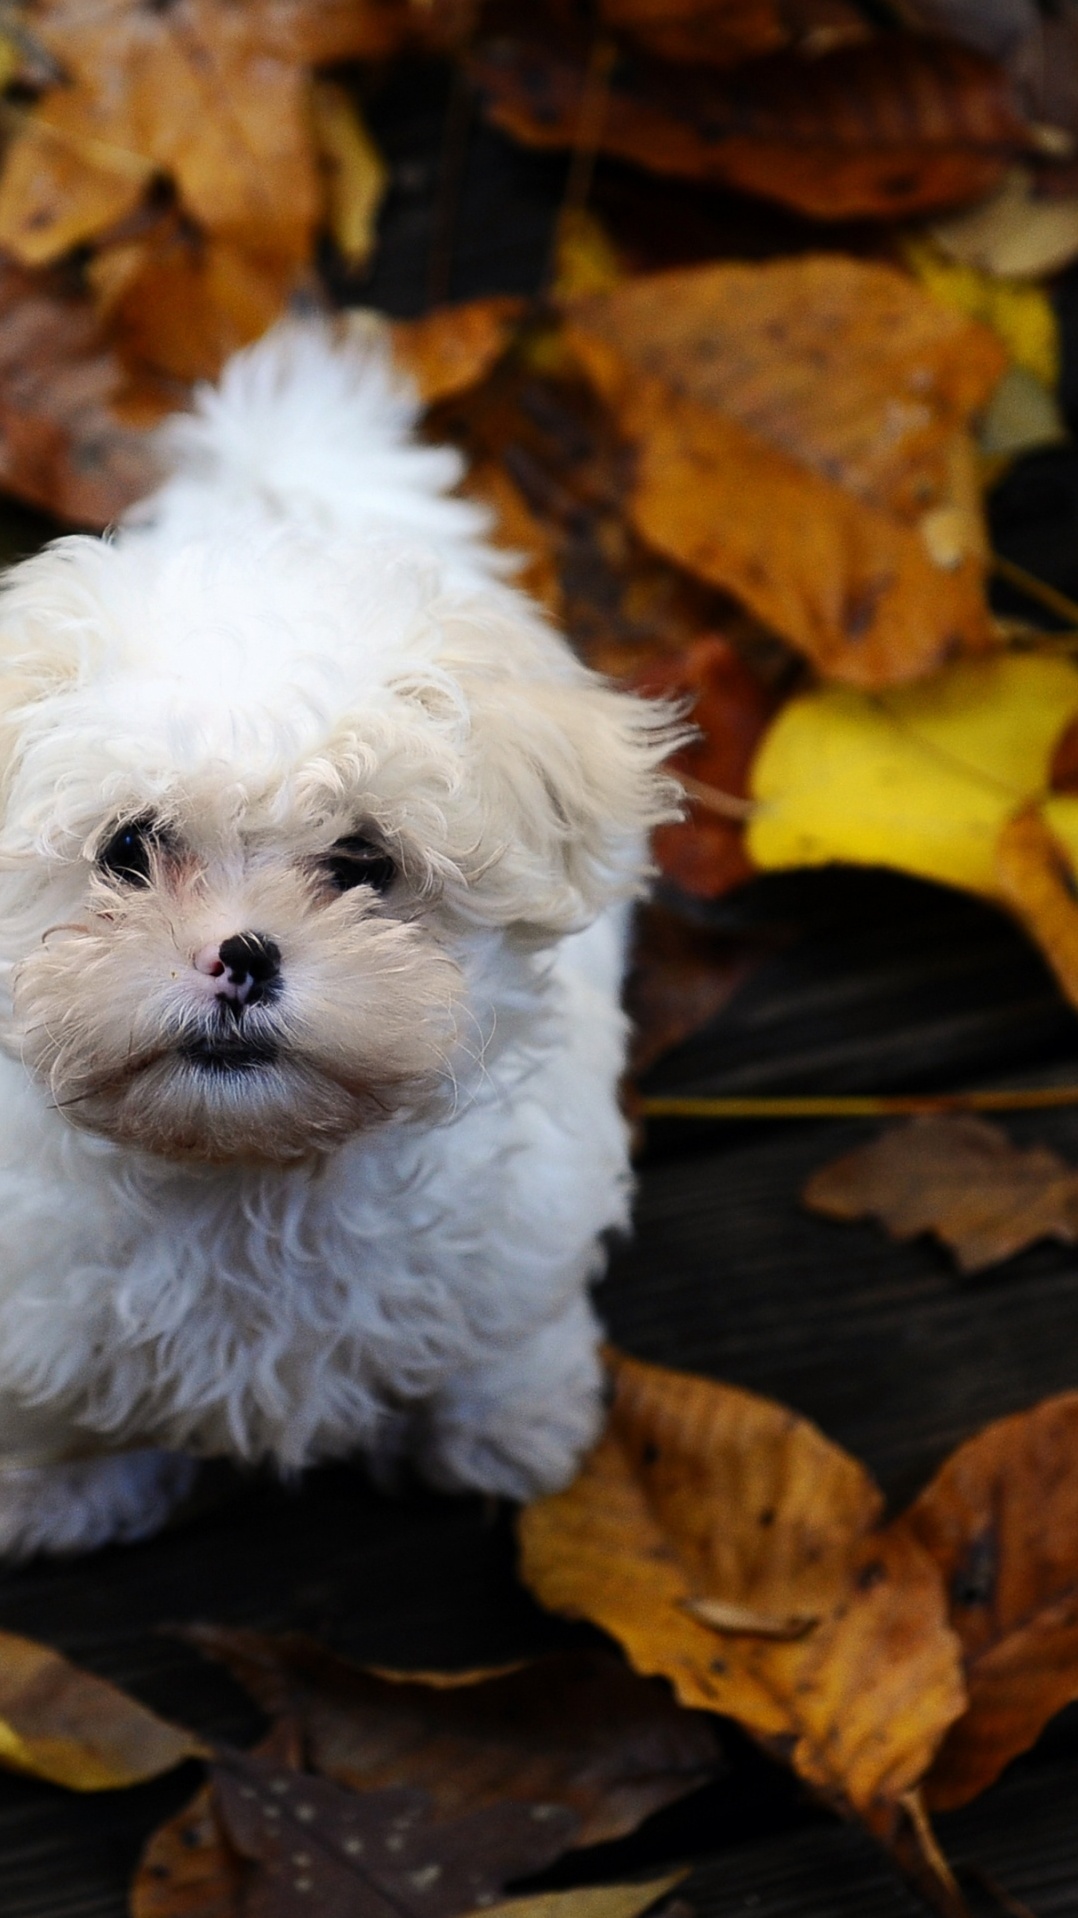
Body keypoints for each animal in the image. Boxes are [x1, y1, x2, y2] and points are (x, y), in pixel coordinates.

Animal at [0, 322, 675, 1557]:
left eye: (363, 864)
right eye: (129, 849)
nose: (243, 956)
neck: (249, 1179)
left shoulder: (522, 1227)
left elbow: (501, 1344)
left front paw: (510, 1435)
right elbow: (62, 1406)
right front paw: (61, 1493)